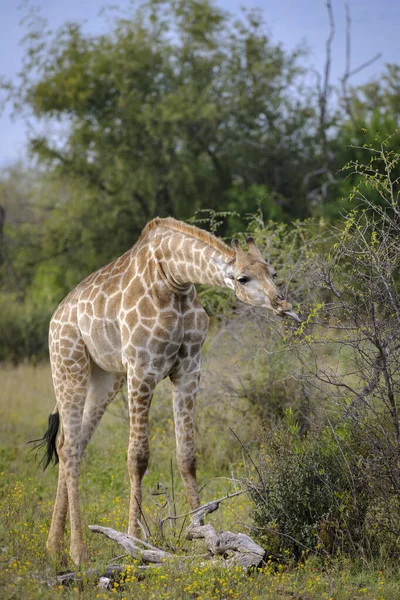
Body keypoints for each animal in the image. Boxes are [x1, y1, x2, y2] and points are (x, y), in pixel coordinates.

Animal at [36, 218, 300, 564]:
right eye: (243, 277)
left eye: (274, 272)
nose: (282, 304)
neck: (175, 280)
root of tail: (56, 318)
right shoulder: (142, 369)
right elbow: (138, 457)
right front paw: (134, 541)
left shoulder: (189, 370)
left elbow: (187, 455)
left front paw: (206, 537)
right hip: (69, 366)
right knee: (68, 447)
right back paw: (78, 553)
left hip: (106, 376)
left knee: (72, 444)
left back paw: (54, 547)